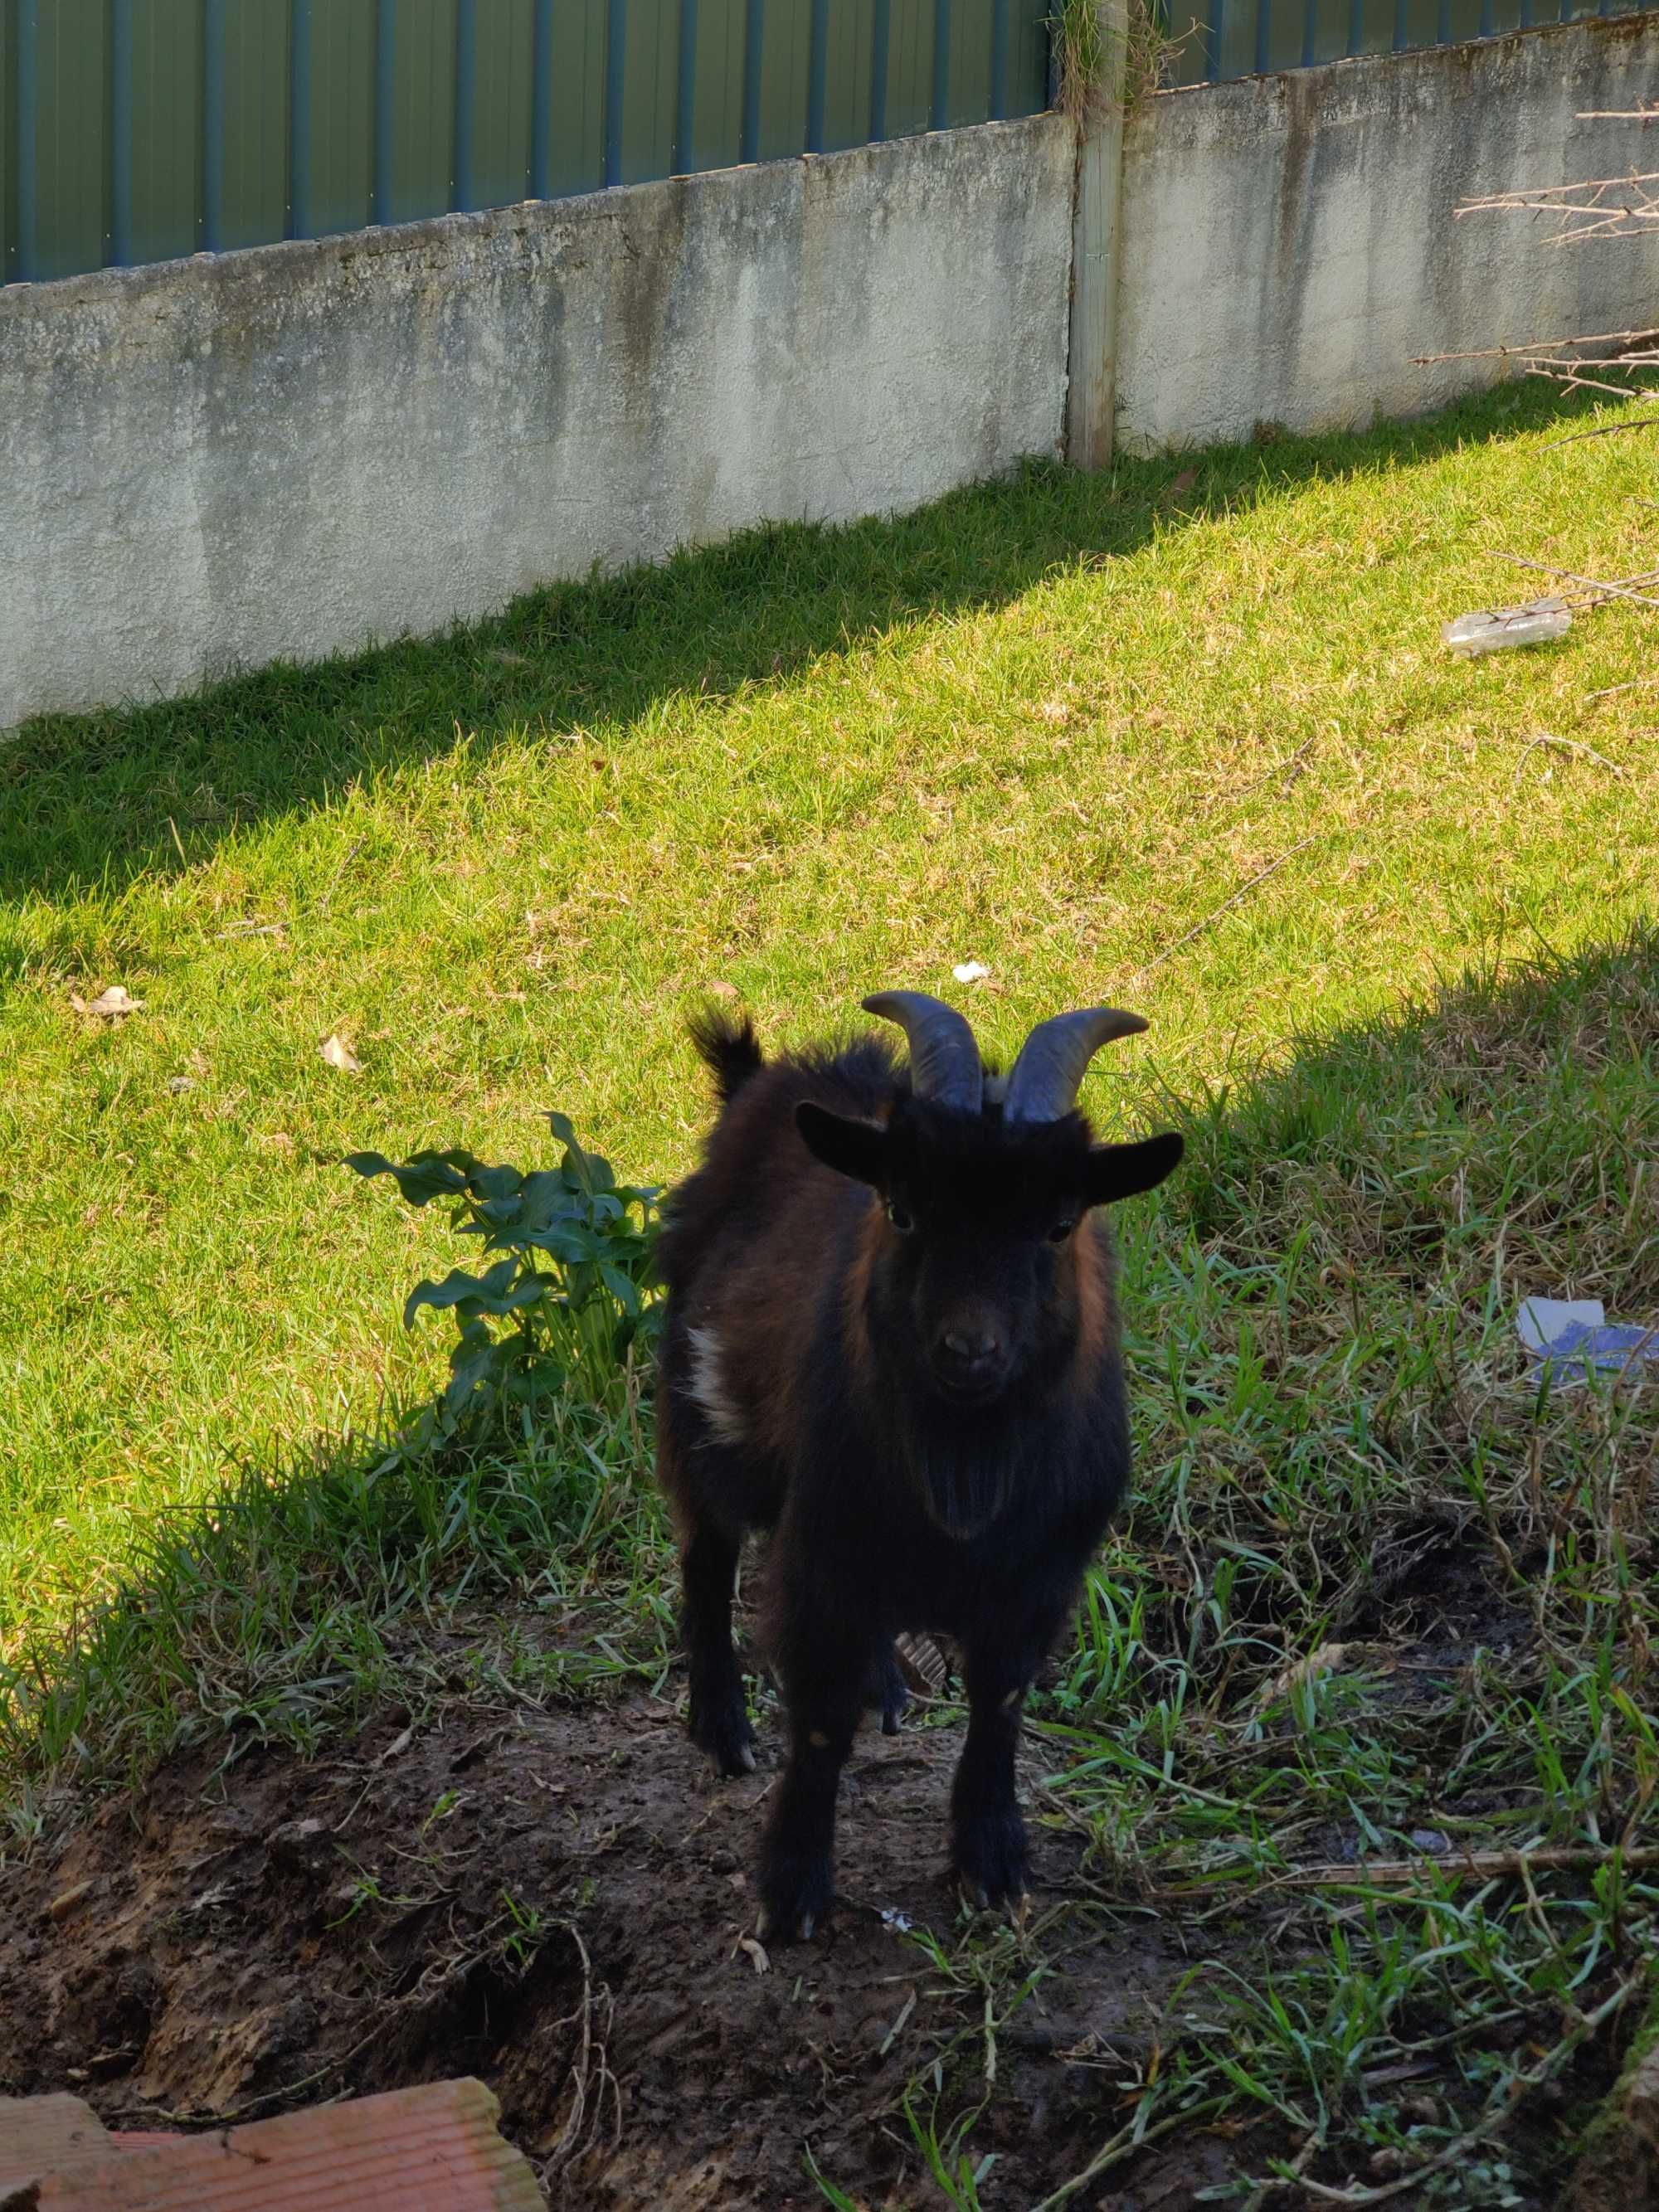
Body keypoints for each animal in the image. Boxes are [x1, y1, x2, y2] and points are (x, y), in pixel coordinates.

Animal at [654, 986, 1185, 1937]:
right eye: (902, 1210)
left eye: (1058, 1224)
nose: (967, 1351)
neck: (963, 1462)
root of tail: (760, 1080)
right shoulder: (823, 1557)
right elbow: (819, 1721)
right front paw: (792, 1888)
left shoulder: (1038, 1578)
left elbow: (999, 1704)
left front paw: (992, 1861)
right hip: (693, 1411)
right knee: (705, 1558)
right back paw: (723, 1729)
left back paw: (883, 1693)